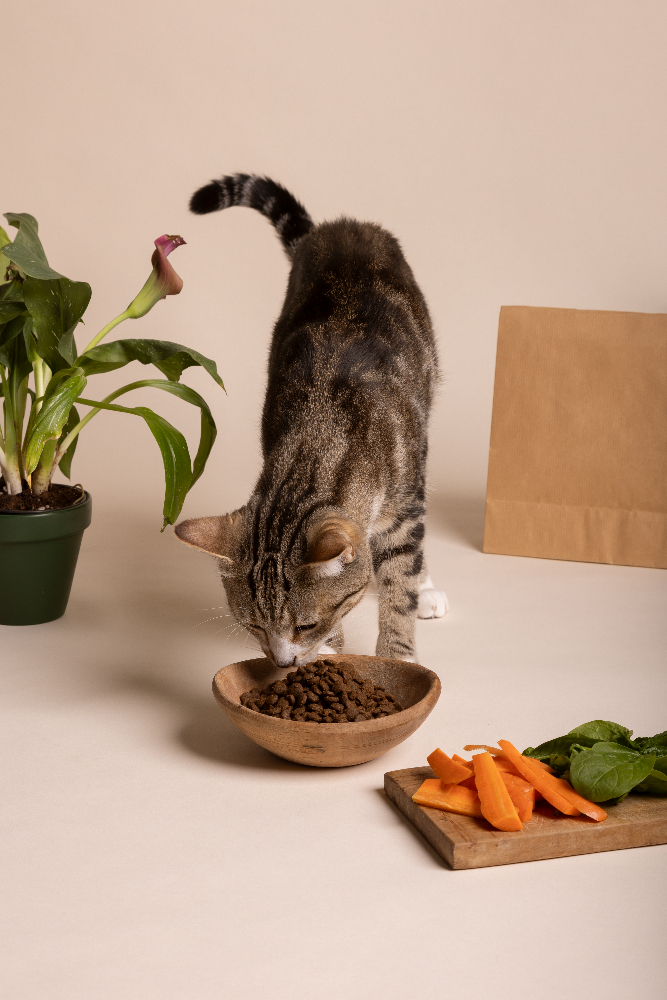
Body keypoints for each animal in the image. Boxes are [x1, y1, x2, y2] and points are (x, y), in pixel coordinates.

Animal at [177, 176, 448, 668]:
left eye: (304, 623)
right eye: (252, 626)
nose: (283, 662)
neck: (321, 431)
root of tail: (336, 227)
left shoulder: (405, 501)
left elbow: (400, 578)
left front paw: (397, 654)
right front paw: (329, 648)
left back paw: (426, 589)